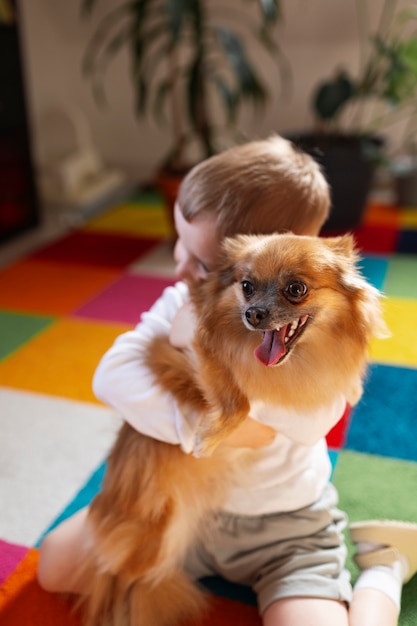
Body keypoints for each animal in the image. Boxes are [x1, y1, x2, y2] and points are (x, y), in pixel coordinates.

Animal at [77, 232, 384, 624]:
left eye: (296, 288)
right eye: (247, 287)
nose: (252, 314)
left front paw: (353, 389)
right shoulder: (189, 350)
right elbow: (238, 398)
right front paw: (208, 437)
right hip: (152, 535)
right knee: (117, 575)